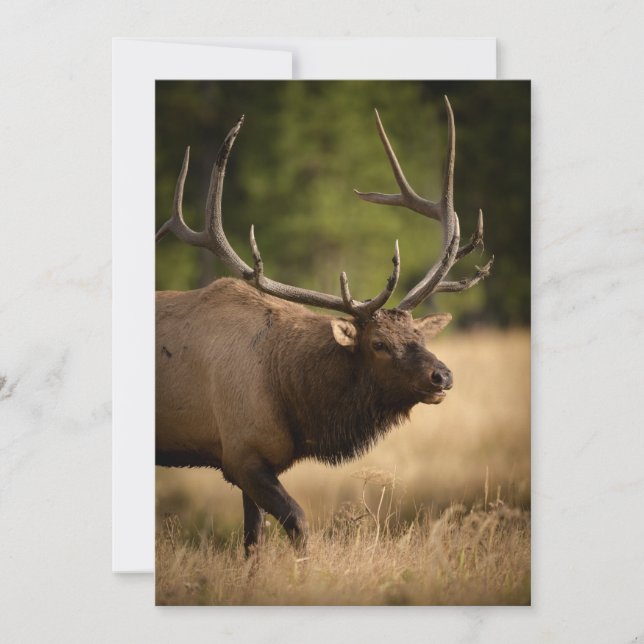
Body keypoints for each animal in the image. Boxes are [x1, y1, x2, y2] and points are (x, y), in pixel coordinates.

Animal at [155, 96, 493, 555]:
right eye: (378, 343)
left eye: (419, 335)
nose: (442, 375)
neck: (294, 398)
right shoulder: (240, 453)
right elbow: (297, 521)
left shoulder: (252, 459)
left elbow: (252, 540)